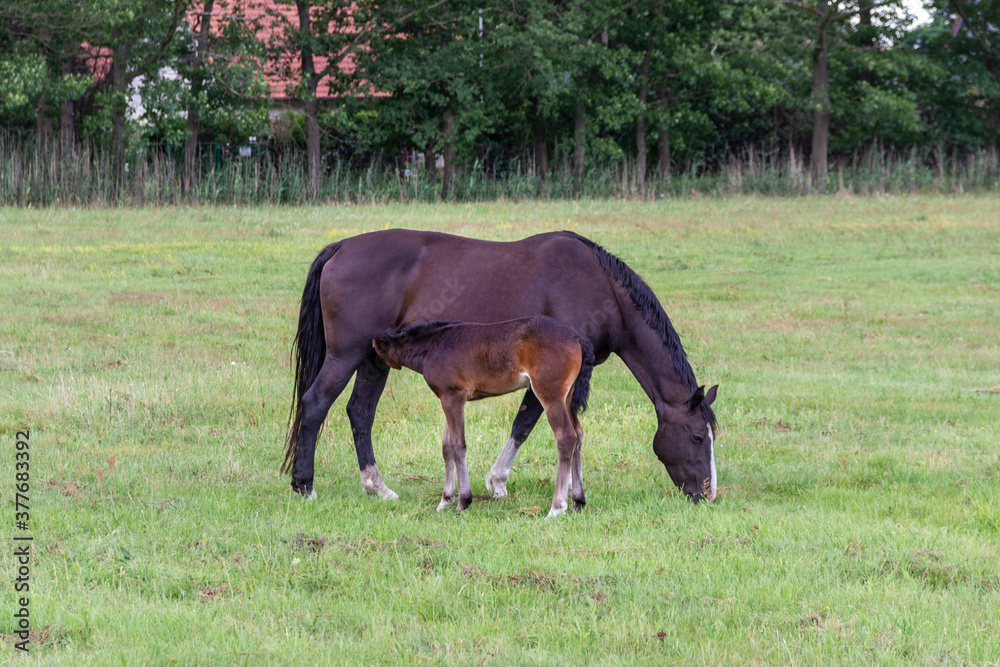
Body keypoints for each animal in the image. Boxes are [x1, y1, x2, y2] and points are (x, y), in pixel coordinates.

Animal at [372, 317, 595, 517]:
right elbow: (446, 447)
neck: (432, 346)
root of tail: (577, 338)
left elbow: (458, 446)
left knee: (566, 437)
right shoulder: (447, 398)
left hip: (550, 394)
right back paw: (578, 501)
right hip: (567, 397)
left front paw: (463, 502)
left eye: (375, 354)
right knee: (578, 434)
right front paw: (445, 501)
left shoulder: (454, 396)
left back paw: (557, 508)